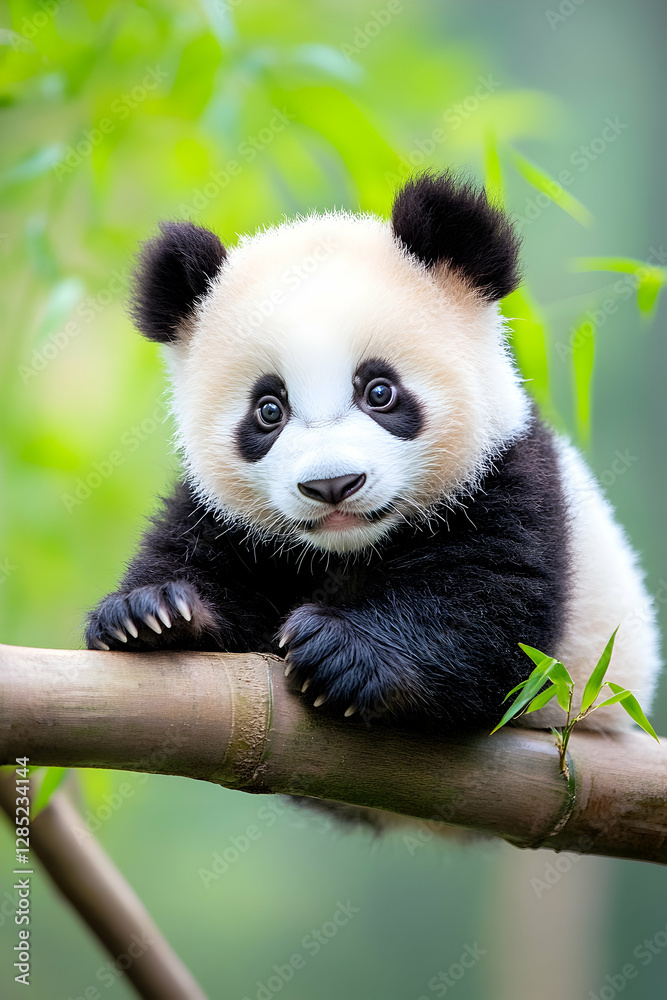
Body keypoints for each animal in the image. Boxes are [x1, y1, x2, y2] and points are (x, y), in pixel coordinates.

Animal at [85, 172, 660, 740]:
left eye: (379, 391)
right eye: (268, 410)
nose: (332, 485)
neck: (348, 549)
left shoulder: (509, 475)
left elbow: (491, 606)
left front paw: (339, 650)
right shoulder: (222, 516)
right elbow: (200, 568)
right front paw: (151, 614)